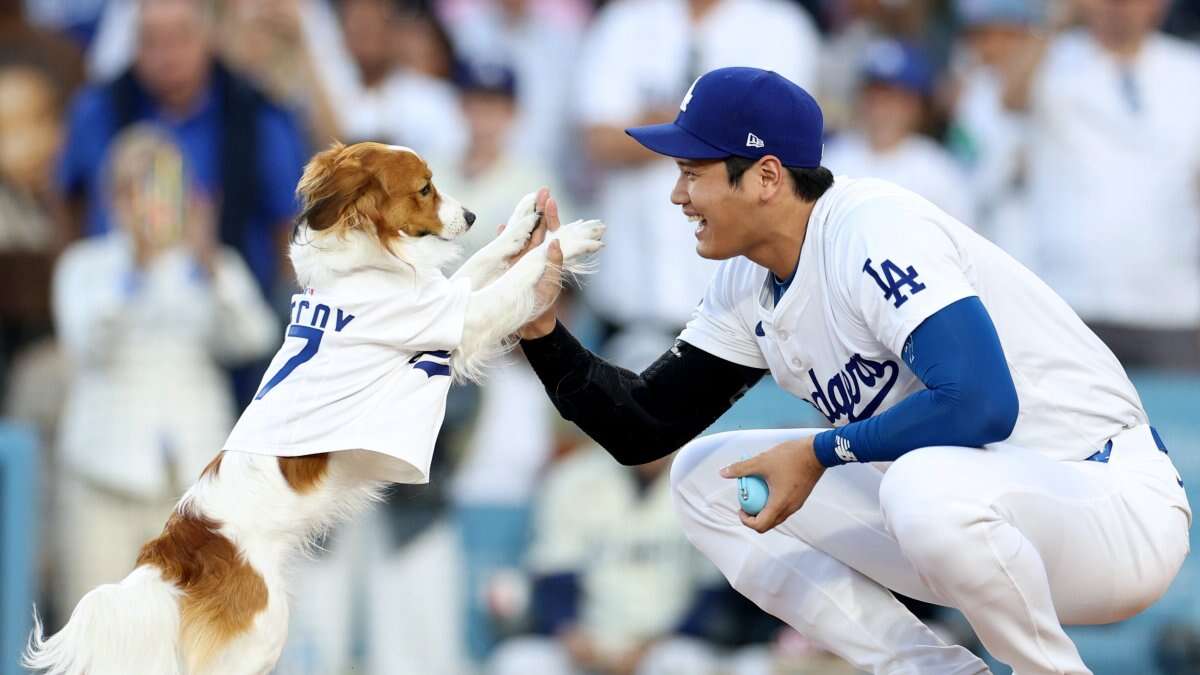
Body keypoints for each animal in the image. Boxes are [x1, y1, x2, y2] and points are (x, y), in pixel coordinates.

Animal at [25, 139, 609, 667]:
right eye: (425, 188)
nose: (470, 215)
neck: (360, 267)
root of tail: (172, 556)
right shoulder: (455, 319)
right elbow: (520, 274)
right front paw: (569, 238)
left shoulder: (440, 300)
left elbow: (486, 261)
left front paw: (524, 221)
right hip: (262, 636)